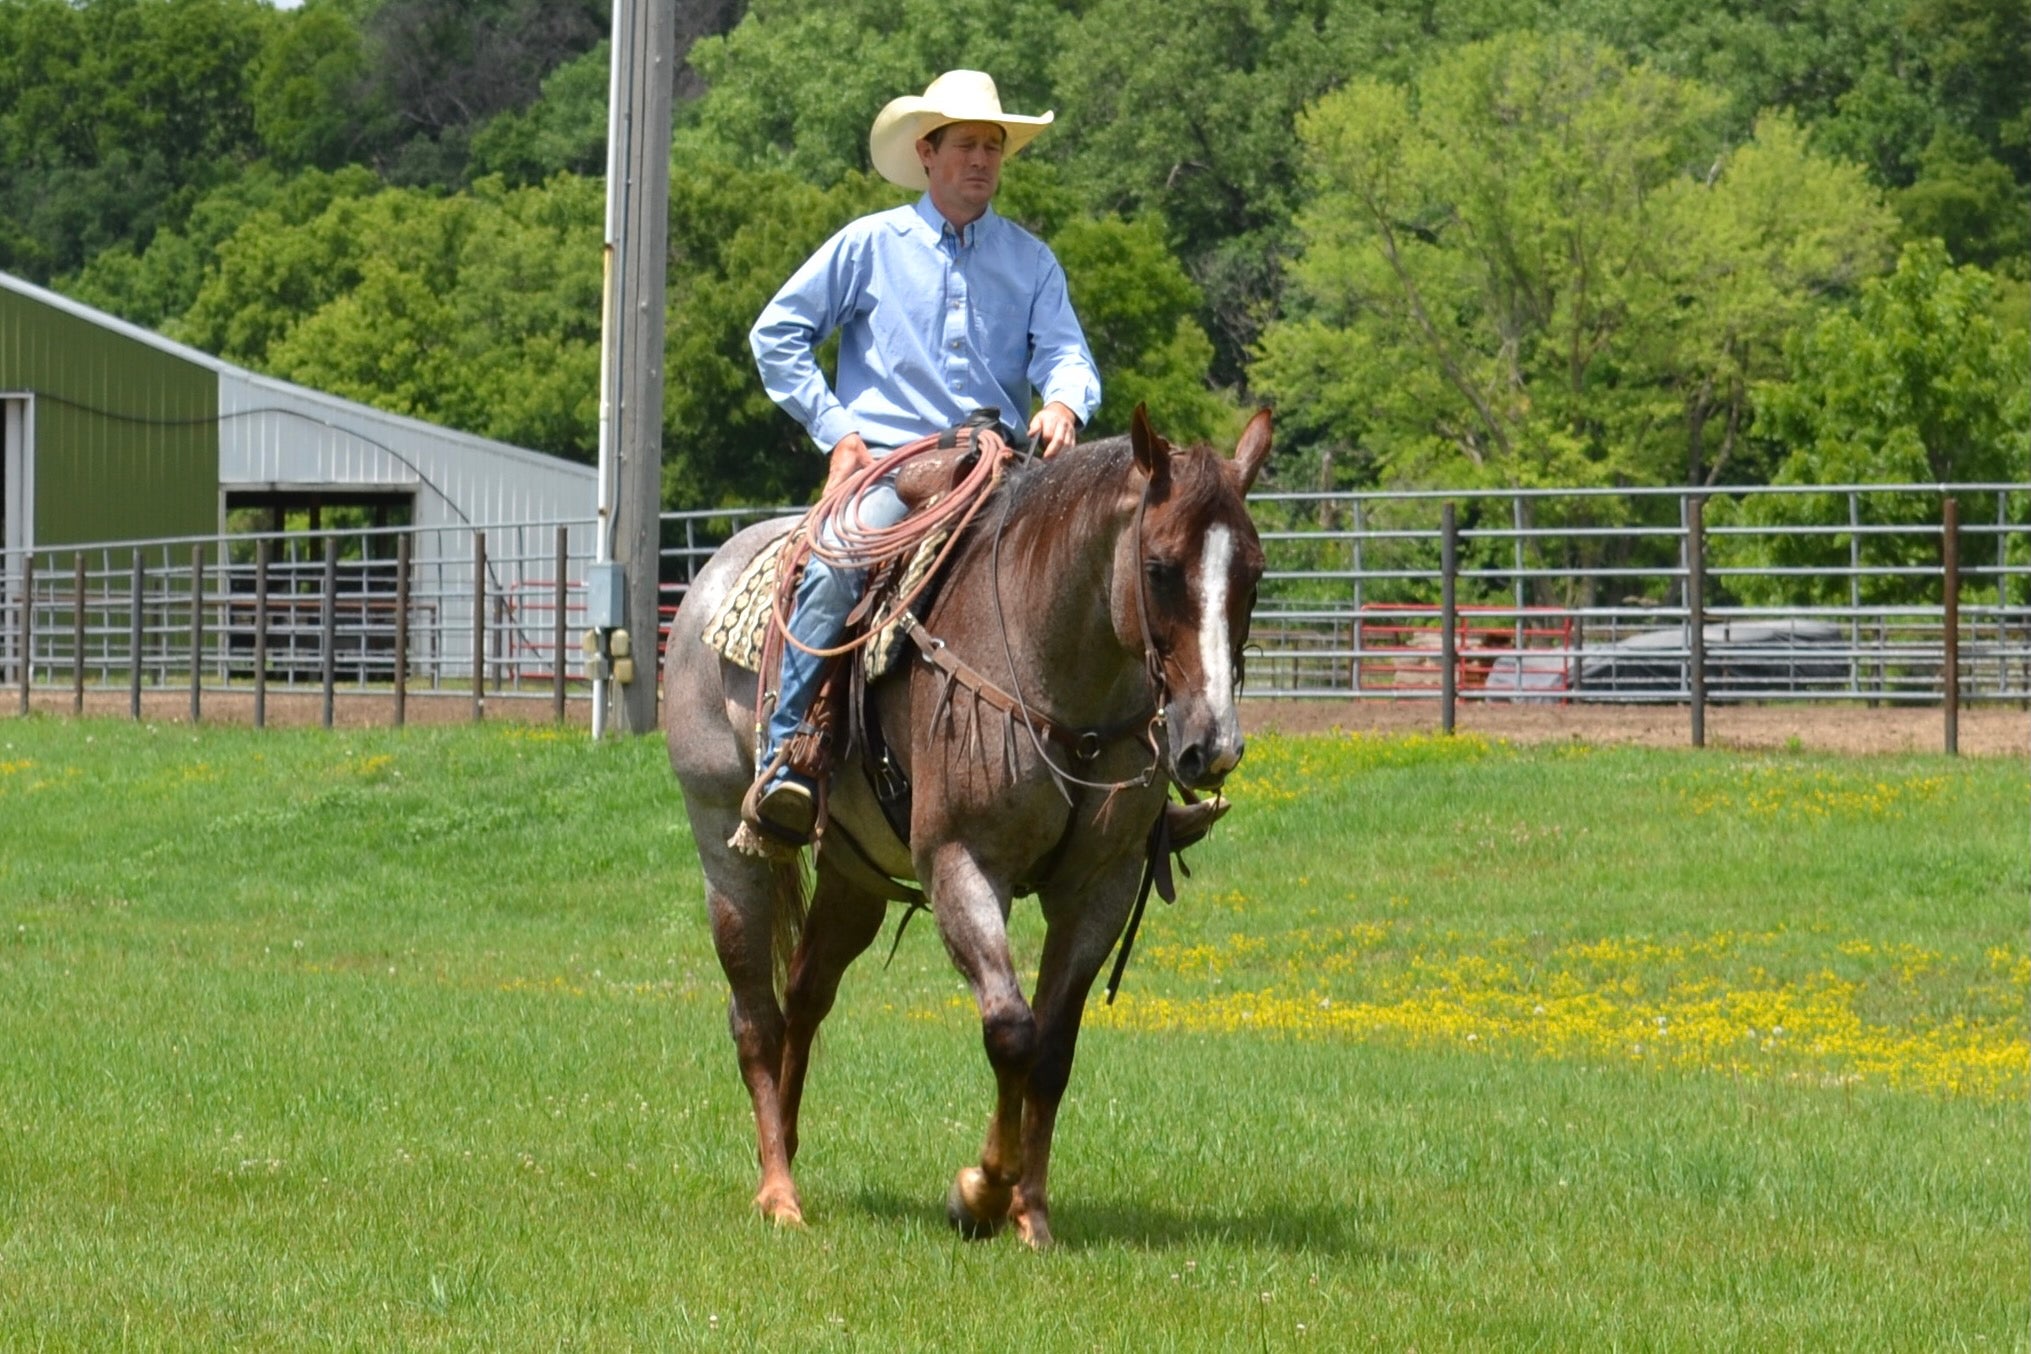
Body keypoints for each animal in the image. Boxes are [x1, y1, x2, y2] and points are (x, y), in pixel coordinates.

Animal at [663, 405, 1272, 1248]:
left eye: (1254, 573)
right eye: (1158, 568)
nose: (1211, 746)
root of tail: (712, 573)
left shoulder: (1101, 885)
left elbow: (1051, 1047)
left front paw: (1031, 1215)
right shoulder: (963, 863)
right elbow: (1010, 1029)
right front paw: (979, 1192)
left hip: (853, 875)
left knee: (805, 997)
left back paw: (782, 1147)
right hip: (726, 848)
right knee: (754, 1016)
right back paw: (779, 1193)